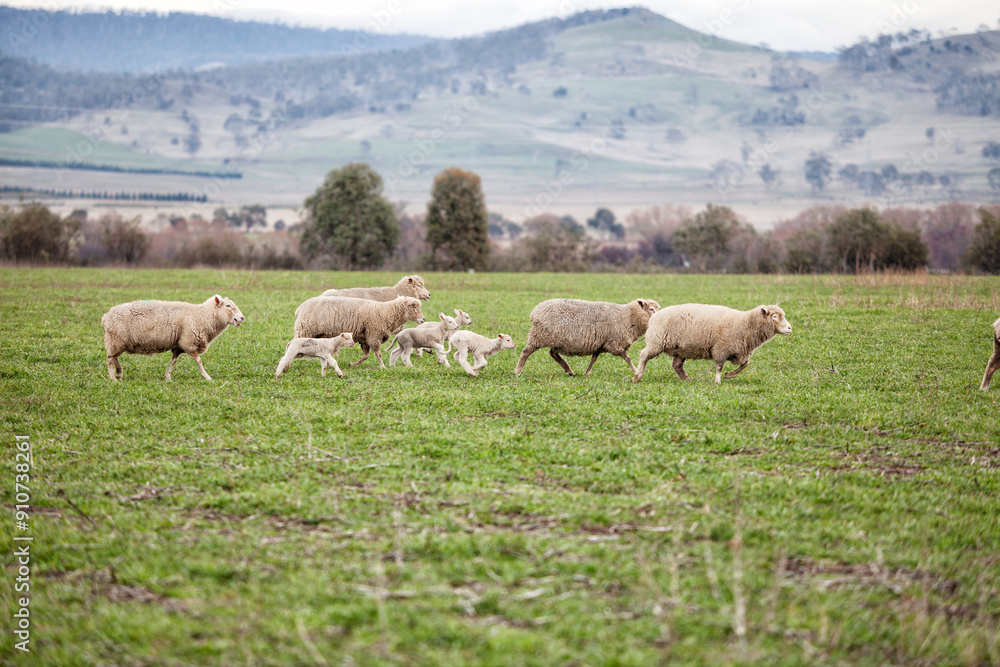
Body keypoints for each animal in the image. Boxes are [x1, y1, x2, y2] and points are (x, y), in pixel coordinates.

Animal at [101, 295, 244, 381]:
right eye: (228, 306)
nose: (242, 317)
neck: (201, 316)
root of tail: (105, 317)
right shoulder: (188, 342)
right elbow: (199, 361)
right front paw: (207, 376)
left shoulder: (179, 345)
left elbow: (173, 360)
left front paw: (167, 376)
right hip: (115, 340)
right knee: (109, 358)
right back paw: (112, 377)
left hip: (117, 342)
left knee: (113, 357)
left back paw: (119, 373)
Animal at [293, 295, 425, 369]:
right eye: (415, 307)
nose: (423, 319)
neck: (387, 312)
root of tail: (300, 308)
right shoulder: (374, 335)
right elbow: (378, 353)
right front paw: (382, 366)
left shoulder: (365, 338)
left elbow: (366, 355)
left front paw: (353, 364)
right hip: (304, 330)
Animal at [514, 298, 660, 377]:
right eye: (651, 309)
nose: (659, 317)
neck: (628, 316)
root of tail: (535, 311)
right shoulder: (613, 343)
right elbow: (627, 357)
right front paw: (636, 371)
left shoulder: (600, 344)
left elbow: (594, 359)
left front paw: (587, 373)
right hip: (539, 335)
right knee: (525, 352)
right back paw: (517, 371)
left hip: (555, 340)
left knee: (553, 354)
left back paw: (569, 370)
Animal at [632, 304, 792, 384]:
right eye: (774, 316)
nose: (790, 328)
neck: (746, 324)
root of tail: (653, 317)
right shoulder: (721, 349)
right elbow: (719, 366)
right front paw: (718, 381)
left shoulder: (739, 350)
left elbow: (745, 364)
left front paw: (729, 375)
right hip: (657, 342)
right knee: (643, 355)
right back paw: (637, 376)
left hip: (680, 349)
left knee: (677, 366)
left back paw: (687, 380)